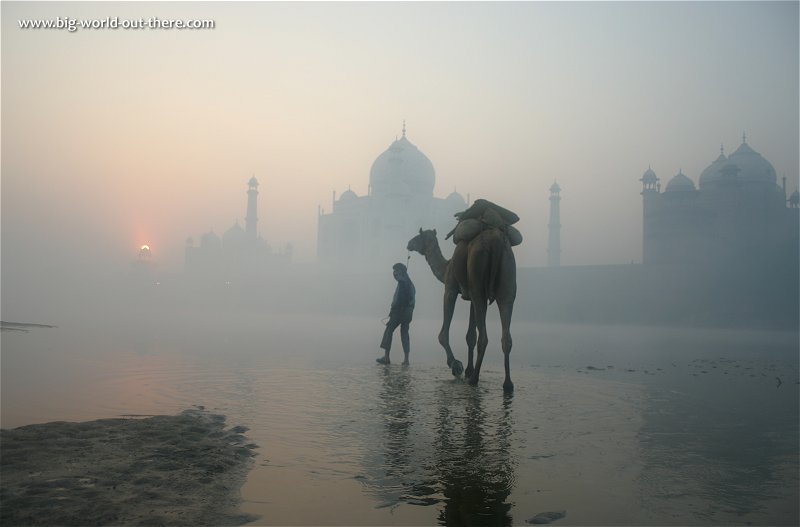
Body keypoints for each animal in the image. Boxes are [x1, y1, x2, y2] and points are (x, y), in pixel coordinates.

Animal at [410, 227, 516, 392]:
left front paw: (456, 365)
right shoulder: (471, 297)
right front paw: (468, 370)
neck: (446, 267)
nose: (409, 243)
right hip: (507, 278)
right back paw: (508, 384)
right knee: (506, 334)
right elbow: (470, 335)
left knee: (484, 337)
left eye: (418, 236)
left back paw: (474, 379)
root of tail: (496, 241)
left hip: (478, 275)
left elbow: (443, 334)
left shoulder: (450, 288)